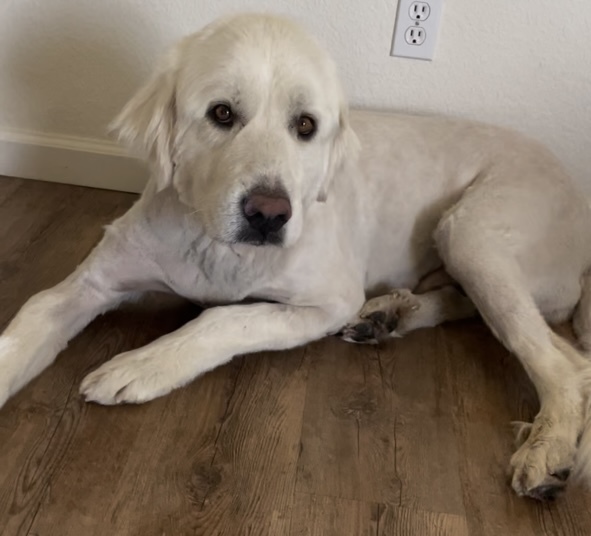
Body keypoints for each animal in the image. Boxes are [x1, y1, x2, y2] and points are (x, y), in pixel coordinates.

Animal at [1, 12, 591, 500]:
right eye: (221, 113)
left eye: (305, 124)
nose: (268, 213)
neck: (215, 243)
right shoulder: (92, 282)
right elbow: (34, 313)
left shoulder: (327, 301)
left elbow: (222, 319)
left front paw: (144, 363)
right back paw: (391, 314)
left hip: (471, 233)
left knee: (565, 362)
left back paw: (549, 453)